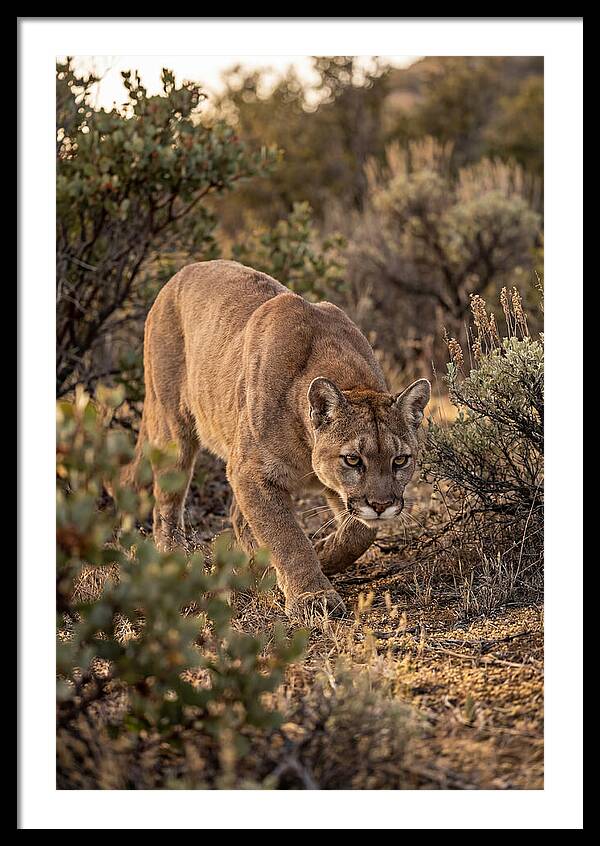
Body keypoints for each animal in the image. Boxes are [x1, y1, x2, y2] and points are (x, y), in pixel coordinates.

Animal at [124, 260, 430, 619]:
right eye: (353, 459)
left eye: (400, 460)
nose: (381, 505)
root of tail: (181, 272)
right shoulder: (252, 472)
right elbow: (286, 536)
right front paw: (313, 596)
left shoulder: (328, 487)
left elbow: (360, 531)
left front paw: (324, 553)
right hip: (174, 428)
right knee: (167, 504)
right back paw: (176, 558)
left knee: (236, 515)